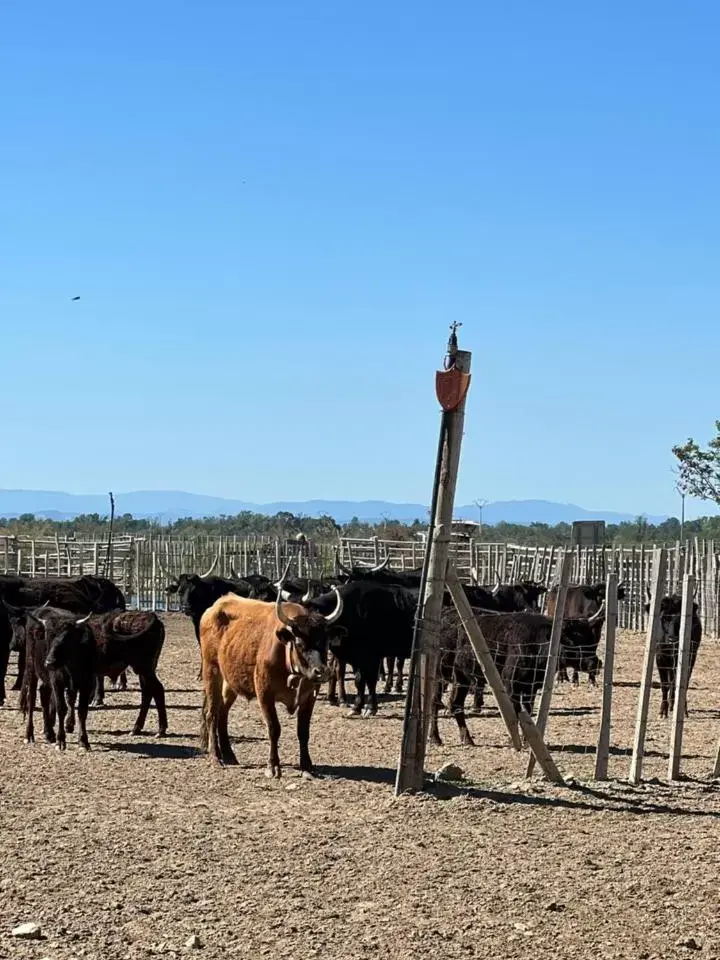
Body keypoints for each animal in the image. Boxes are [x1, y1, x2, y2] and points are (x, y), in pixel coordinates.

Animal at [197, 584, 344, 780]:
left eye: (326, 641)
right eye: (299, 642)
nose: (321, 671)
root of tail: (214, 608)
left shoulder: (309, 697)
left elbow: (303, 731)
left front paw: (306, 765)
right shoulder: (265, 694)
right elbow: (274, 729)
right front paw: (273, 766)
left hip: (230, 682)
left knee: (222, 712)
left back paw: (229, 754)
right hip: (212, 671)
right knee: (212, 713)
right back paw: (216, 756)